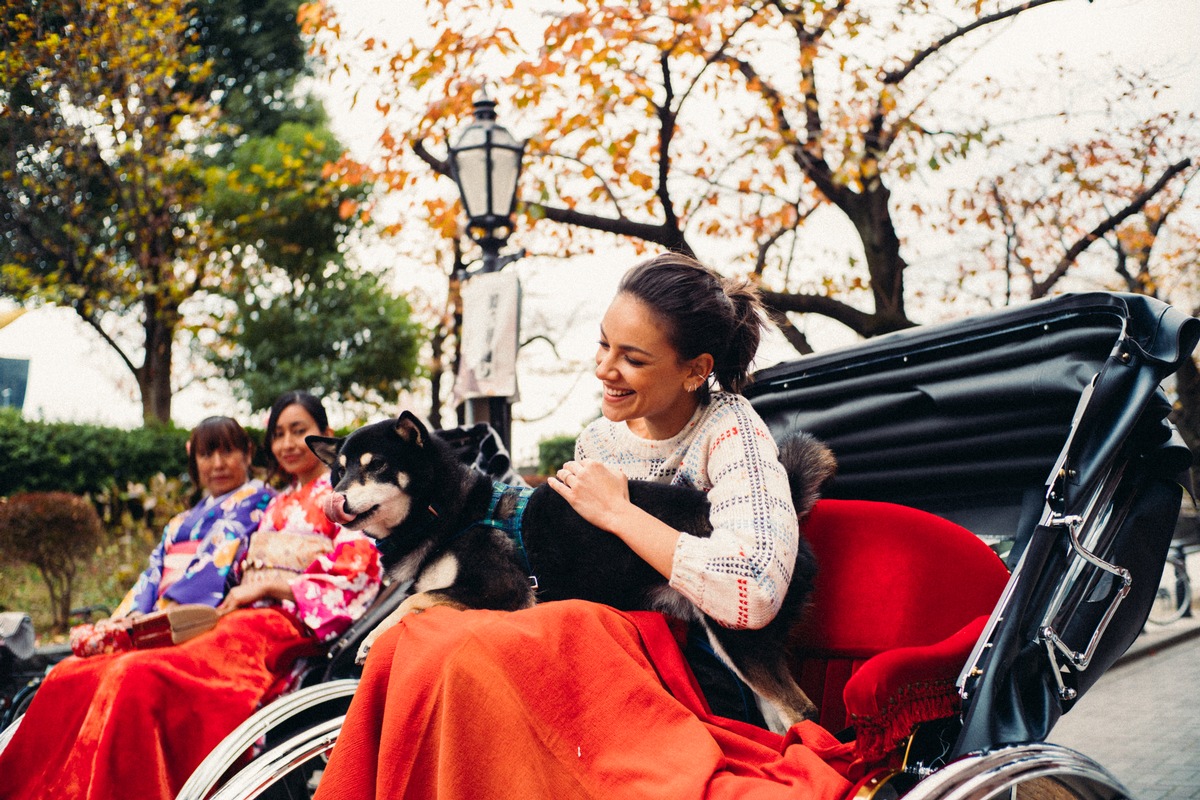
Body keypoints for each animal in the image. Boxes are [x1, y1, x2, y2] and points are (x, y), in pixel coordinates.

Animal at [307, 412, 835, 724]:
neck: (446, 511)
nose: (337, 500)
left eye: (376, 466)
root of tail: (787, 516)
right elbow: (422, 593)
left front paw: (372, 640)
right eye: (338, 471)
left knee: (804, 710)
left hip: (740, 638)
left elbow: (418, 597)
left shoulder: (505, 589)